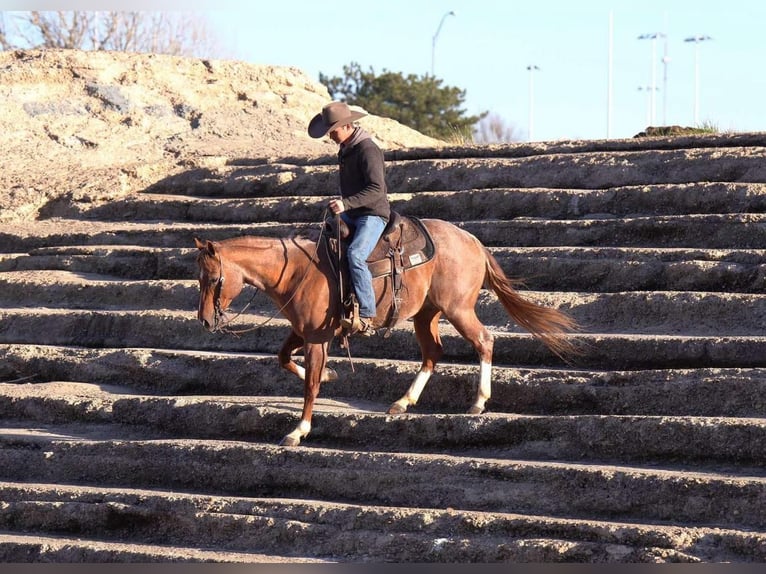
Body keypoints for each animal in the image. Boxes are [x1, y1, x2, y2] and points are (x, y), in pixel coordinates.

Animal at [195, 218, 580, 448]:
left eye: (213, 279)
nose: (204, 322)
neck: (298, 271)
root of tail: (473, 241)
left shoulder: (317, 337)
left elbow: (310, 385)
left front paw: (298, 430)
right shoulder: (302, 330)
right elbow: (283, 358)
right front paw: (332, 375)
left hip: (457, 309)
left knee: (484, 341)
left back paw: (478, 402)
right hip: (426, 314)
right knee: (432, 353)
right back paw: (403, 402)